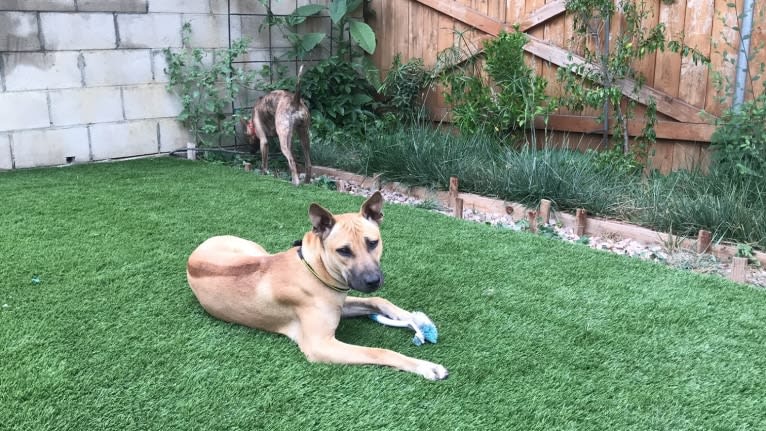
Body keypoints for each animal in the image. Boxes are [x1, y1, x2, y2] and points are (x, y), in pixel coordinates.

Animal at [187, 193, 450, 382]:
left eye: (373, 243)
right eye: (343, 250)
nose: (373, 280)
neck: (315, 267)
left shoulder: (341, 301)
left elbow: (378, 301)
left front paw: (411, 318)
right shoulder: (320, 345)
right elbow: (379, 351)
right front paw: (426, 366)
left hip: (255, 250)